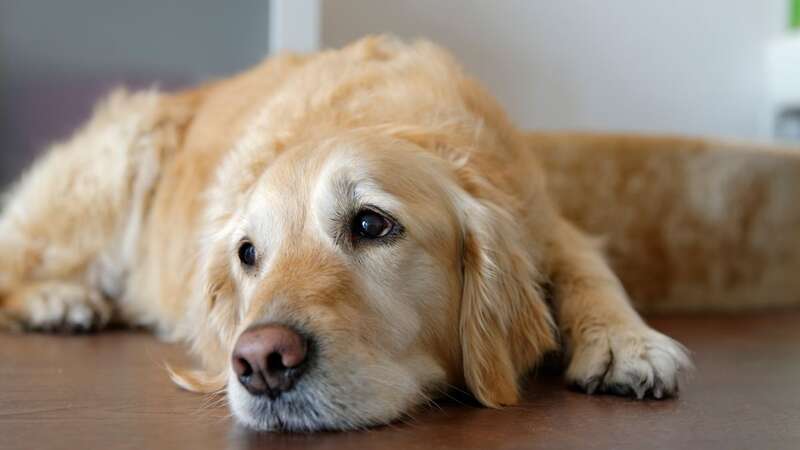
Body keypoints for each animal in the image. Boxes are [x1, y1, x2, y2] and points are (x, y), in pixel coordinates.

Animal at [0, 36, 708, 432]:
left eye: (371, 223)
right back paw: (61, 301)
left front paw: (624, 342)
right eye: (248, 254)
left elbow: (590, 267)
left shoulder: (545, 222)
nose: (261, 362)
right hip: (116, 164)